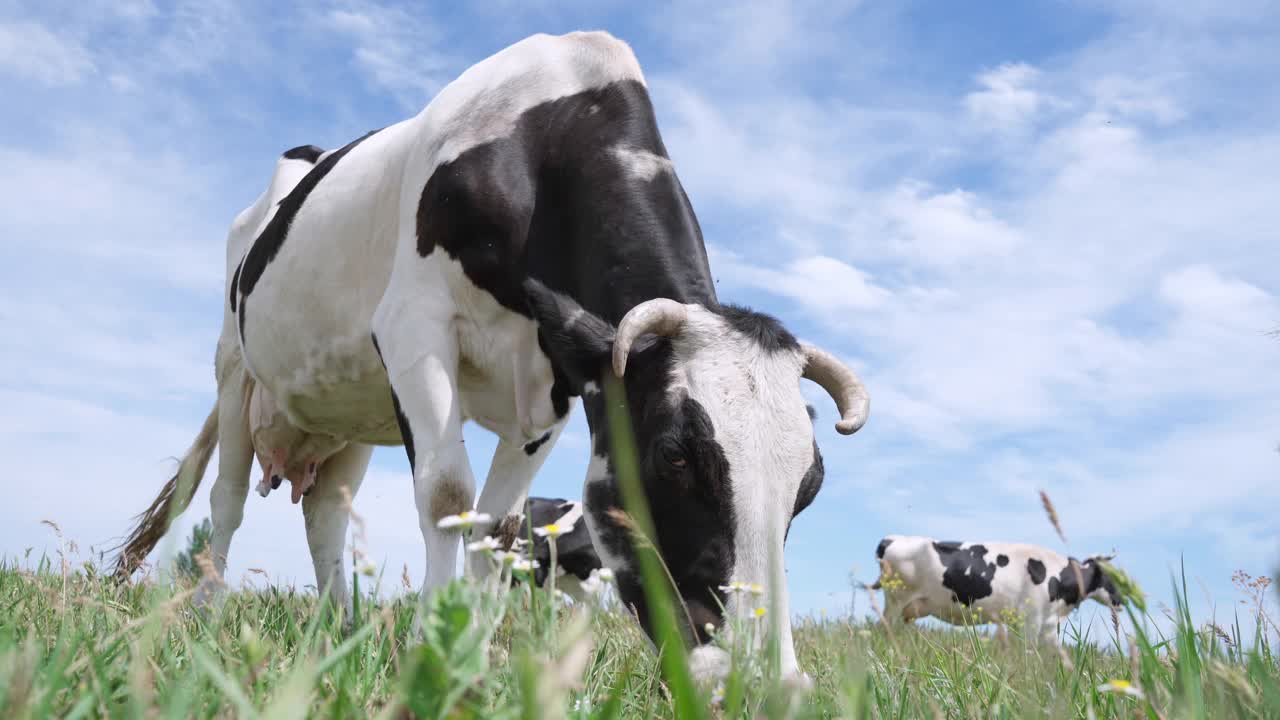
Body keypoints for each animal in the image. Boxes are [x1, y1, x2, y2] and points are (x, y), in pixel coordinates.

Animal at [112, 29, 870, 676]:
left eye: (809, 486)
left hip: (346, 407)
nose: (765, 681)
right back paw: (209, 616)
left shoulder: (558, 385)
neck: (545, 147)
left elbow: (498, 526)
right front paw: (428, 648)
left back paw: (337, 630)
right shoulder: (413, 326)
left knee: (324, 510)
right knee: (228, 498)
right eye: (673, 456)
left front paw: (468, 654)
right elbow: (449, 494)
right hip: (234, 369)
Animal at [870, 532, 1121, 638]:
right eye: (1114, 576)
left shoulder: (1046, 623)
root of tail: (894, 539)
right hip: (896, 601)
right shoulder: (1030, 619)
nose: (1121, 600)